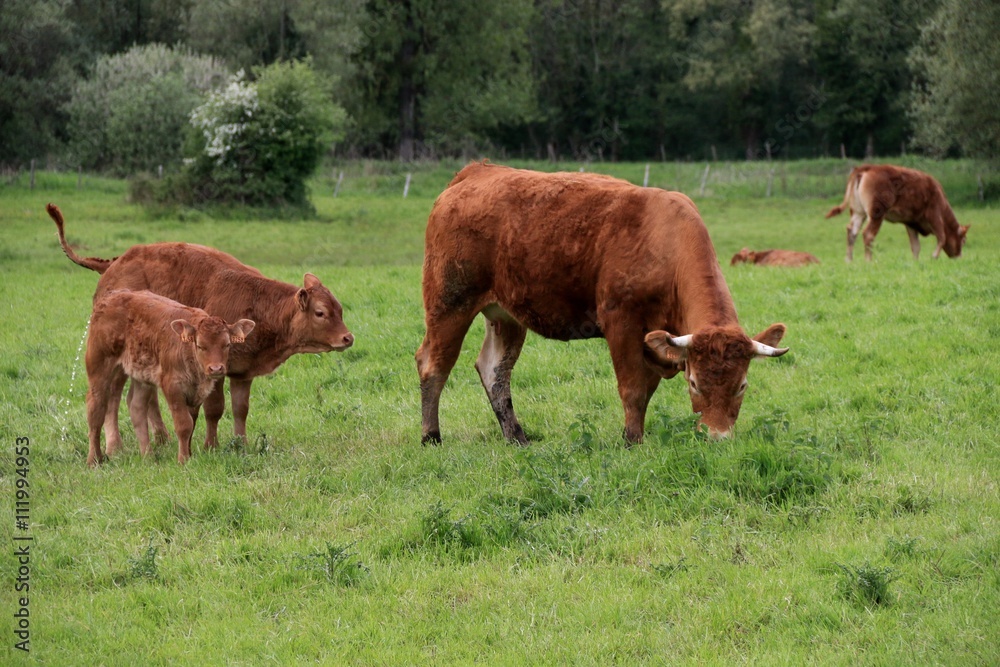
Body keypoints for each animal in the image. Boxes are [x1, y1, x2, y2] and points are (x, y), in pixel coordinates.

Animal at [84, 290, 256, 468]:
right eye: (200, 345)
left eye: (227, 344)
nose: (216, 368)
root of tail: (113, 295)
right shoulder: (172, 386)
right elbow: (184, 424)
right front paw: (183, 459)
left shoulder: (196, 391)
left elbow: (192, 421)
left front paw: (189, 453)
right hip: (99, 367)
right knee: (96, 409)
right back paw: (94, 460)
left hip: (142, 375)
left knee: (136, 408)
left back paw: (148, 456)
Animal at [416, 161, 788, 444]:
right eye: (694, 383)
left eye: (742, 385)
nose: (717, 438)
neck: (665, 245)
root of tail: (476, 172)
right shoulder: (621, 324)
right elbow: (633, 389)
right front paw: (632, 442)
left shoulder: (655, 342)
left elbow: (646, 389)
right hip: (449, 303)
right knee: (433, 364)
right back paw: (431, 436)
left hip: (506, 316)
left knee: (495, 370)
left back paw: (516, 437)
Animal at [820, 164, 968, 260]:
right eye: (963, 240)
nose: (959, 257)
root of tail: (867, 167)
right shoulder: (934, 214)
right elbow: (942, 236)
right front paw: (934, 256)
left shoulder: (910, 222)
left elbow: (915, 245)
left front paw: (916, 262)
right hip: (876, 213)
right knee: (868, 234)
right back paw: (868, 261)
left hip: (858, 213)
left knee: (852, 232)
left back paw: (849, 261)